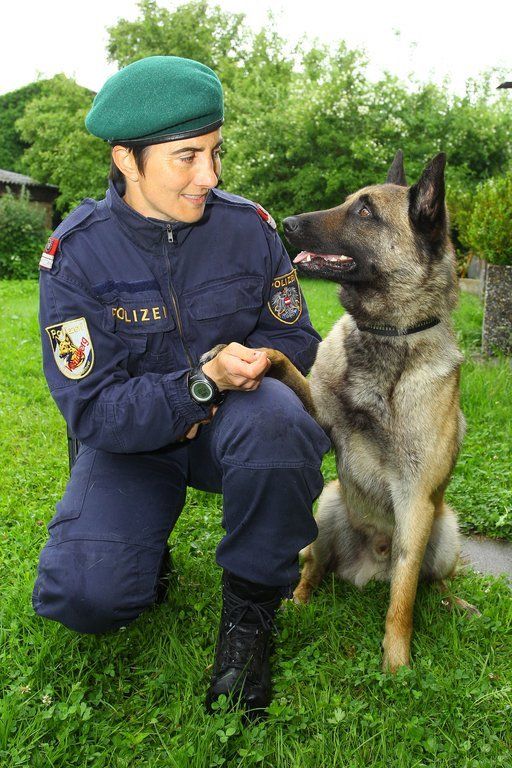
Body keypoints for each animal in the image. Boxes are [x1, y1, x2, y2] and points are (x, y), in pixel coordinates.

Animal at [270, 151, 471, 672]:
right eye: (346, 201)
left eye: (364, 212)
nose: (287, 223)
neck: (385, 336)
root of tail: (366, 568)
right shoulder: (321, 420)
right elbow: (288, 370)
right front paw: (249, 356)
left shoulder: (416, 500)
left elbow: (403, 596)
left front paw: (396, 662)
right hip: (325, 508)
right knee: (313, 567)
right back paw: (297, 603)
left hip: (445, 530)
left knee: (429, 580)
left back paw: (455, 602)